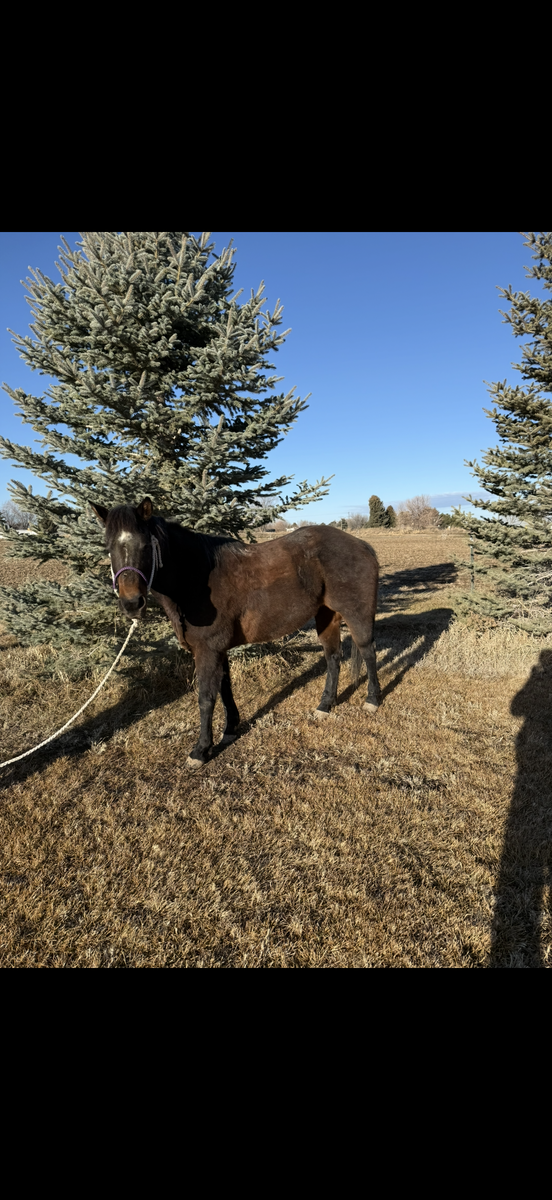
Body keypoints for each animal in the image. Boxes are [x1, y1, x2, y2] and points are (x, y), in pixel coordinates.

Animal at [91, 498, 381, 767]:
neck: (197, 579)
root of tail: (361, 545)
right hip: (326, 616)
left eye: (145, 545)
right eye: (108, 547)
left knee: (368, 652)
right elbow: (225, 689)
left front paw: (201, 750)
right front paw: (230, 729)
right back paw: (324, 706)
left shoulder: (207, 650)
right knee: (333, 659)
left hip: (357, 616)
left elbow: (206, 698)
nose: (132, 603)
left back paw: (372, 700)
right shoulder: (219, 650)